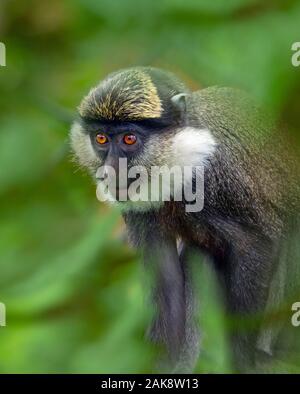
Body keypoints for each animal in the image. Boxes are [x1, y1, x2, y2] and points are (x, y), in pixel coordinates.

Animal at [69, 66, 300, 370]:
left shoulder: (217, 180)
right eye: (101, 139)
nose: (110, 170)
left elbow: (254, 245)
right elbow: (167, 281)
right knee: (196, 254)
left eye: (129, 139)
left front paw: (242, 361)